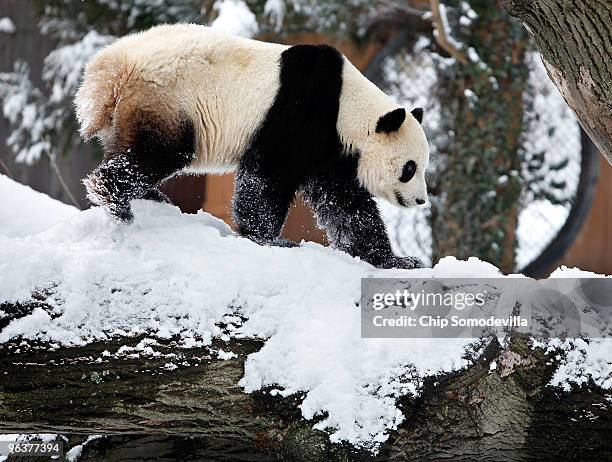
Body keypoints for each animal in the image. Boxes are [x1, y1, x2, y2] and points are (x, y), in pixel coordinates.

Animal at [75, 24, 430, 270]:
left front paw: (397, 261)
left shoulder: (329, 149)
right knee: (161, 153)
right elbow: (267, 175)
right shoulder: (300, 109)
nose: (421, 200)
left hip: (132, 113)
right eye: (410, 168)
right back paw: (115, 200)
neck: (349, 107)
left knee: (130, 151)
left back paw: (148, 196)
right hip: (168, 99)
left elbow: (346, 205)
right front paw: (269, 240)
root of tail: (109, 69)